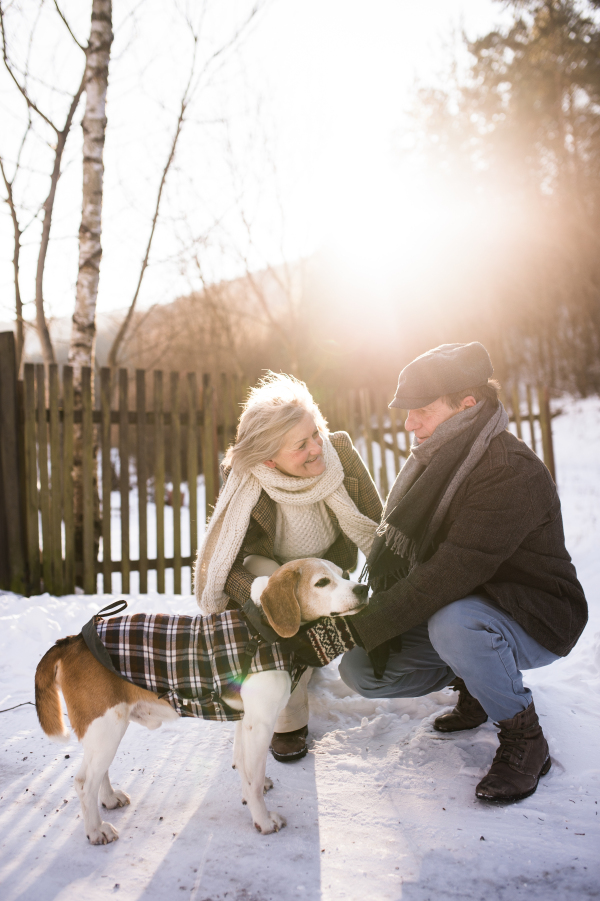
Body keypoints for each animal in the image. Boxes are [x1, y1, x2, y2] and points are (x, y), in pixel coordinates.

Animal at [36, 556, 370, 844]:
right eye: (322, 582)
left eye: (344, 574)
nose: (363, 589)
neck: (263, 630)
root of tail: (72, 641)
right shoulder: (261, 723)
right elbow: (253, 776)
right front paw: (262, 819)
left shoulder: (246, 721)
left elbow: (245, 765)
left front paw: (253, 789)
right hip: (106, 728)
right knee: (83, 783)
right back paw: (96, 830)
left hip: (105, 732)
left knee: (97, 774)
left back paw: (107, 798)